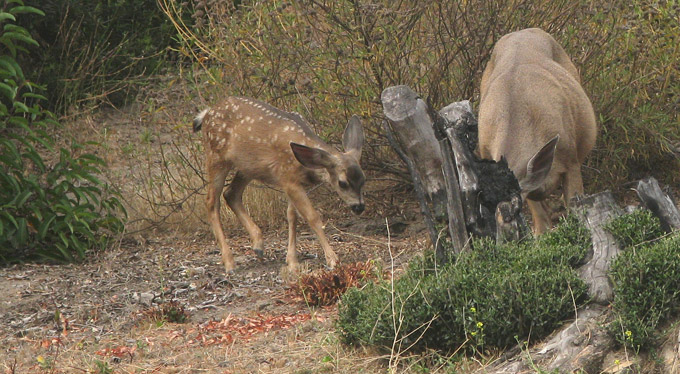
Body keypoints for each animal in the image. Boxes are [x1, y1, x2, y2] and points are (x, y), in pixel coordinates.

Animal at [194, 96, 364, 272]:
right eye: (342, 183)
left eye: (363, 180)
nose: (359, 207)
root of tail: (207, 113)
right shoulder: (288, 178)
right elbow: (312, 217)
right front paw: (332, 260)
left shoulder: (292, 182)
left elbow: (292, 216)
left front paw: (292, 261)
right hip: (216, 156)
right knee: (212, 201)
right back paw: (229, 262)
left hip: (249, 166)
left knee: (231, 193)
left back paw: (258, 245)